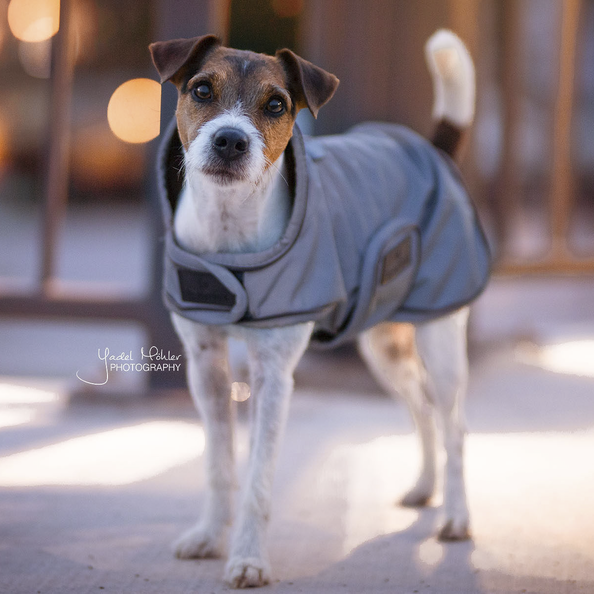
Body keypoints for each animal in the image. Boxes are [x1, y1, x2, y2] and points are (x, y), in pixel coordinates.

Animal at [148, 30, 486, 584]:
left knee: (454, 425)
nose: (230, 140)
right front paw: (210, 536)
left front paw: (247, 557)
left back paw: (456, 516)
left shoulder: (273, 377)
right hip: (383, 344)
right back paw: (424, 488)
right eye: (201, 90)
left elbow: (258, 479)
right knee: (422, 407)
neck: (230, 239)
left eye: (276, 105)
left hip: (441, 339)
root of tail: (432, 151)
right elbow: (220, 465)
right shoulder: (206, 368)